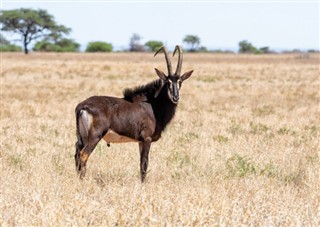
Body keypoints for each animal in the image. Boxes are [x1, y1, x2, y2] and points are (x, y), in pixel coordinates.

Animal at [74, 45, 192, 182]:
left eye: (180, 82)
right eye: (168, 82)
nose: (176, 97)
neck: (153, 104)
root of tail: (82, 106)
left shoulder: (140, 142)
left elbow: (141, 164)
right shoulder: (146, 139)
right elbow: (144, 164)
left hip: (82, 137)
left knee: (77, 154)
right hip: (95, 136)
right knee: (83, 155)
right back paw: (83, 180)